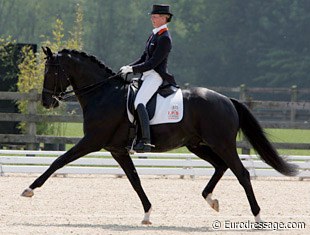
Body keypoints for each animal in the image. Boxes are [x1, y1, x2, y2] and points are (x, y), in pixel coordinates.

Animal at [20, 47, 296, 224]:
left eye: (51, 71)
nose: (46, 102)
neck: (103, 93)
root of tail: (227, 99)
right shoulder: (117, 149)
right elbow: (134, 180)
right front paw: (147, 214)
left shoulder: (92, 141)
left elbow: (58, 161)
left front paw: (29, 189)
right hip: (197, 144)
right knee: (220, 166)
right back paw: (211, 200)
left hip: (222, 143)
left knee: (242, 173)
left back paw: (258, 216)